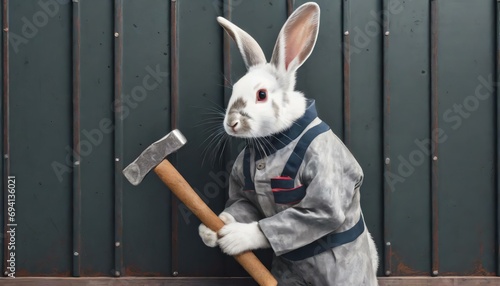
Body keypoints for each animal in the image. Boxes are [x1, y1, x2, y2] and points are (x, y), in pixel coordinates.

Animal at [199, 2, 378, 286]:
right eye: (234, 89)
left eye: (262, 95)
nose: (232, 123)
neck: (276, 142)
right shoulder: (242, 191)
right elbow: (242, 204)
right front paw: (212, 228)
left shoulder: (325, 183)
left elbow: (309, 215)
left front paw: (236, 238)